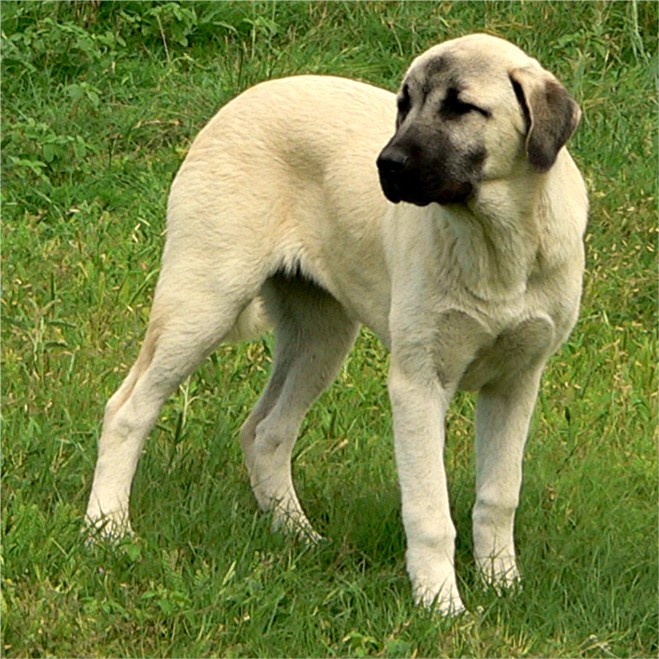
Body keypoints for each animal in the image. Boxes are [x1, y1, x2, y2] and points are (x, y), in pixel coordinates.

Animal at [87, 34, 588, 612]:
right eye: (404, 104)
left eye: (462, 107)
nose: (386, 164)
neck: (496, 243)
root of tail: (240, 101)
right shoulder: (418, 383)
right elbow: (429, 510)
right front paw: (441, 604)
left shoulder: (516, 382)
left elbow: (499, 496)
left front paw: (502, 584)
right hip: (202, 302)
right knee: (127, 410)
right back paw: (106, 528)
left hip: (321, 338)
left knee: (266, 431)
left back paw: (296, 534)